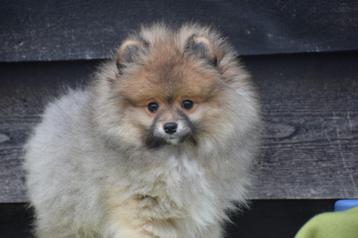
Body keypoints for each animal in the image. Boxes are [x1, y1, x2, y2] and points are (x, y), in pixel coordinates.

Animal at [23, 22, 262, 238]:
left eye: (187, 104)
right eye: (152, 107)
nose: (170, 126)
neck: (178, 157)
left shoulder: (204, 217)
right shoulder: (143, 212)